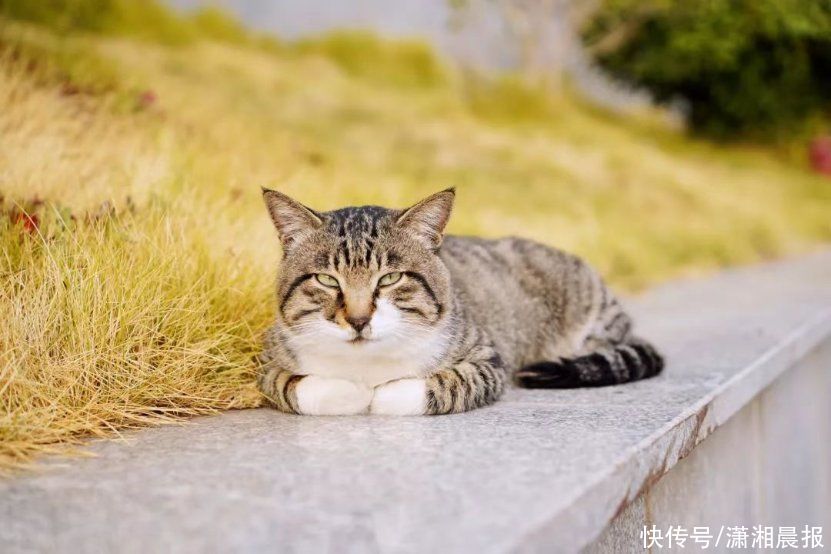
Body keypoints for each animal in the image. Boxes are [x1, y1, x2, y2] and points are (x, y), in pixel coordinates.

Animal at [258, 188, 664, 412]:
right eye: (327, 279)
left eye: (390, 278)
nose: (358, 320)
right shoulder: (267, 363)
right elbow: (297, 386)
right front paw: (350, 392)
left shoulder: (488, 360)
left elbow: (436, 386)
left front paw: (380, 396)